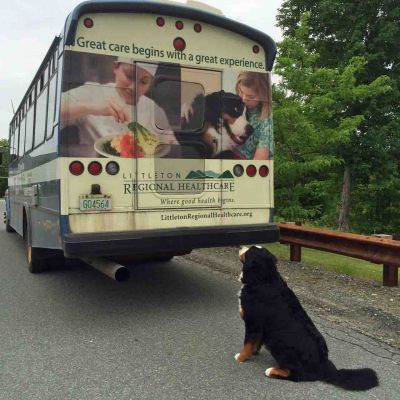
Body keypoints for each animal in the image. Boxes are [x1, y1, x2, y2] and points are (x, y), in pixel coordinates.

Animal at [236, 245, 380, 392]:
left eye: (249, 250)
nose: (241, 246)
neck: (263, 279)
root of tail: (324, 365)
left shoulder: (253, 323)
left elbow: (247, 344)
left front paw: (241, 357)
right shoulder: (260, 327)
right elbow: (256, 343)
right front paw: (253, 353)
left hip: (283, 349)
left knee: (298, 375)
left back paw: (272, 371)